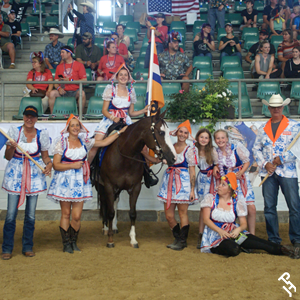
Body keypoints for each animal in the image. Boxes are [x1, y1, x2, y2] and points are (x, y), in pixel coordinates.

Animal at [95, 111, 177, 247]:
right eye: (161, 132)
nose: (173, 158)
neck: (124, 156)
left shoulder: (135, 187)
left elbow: (132, 213)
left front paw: (133, 239)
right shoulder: (109, 186)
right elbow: (110, 212)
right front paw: (110, 240)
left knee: (114, 203)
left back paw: (114, 227)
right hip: (101, 187)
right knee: (105, 205)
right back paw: (106, 228)